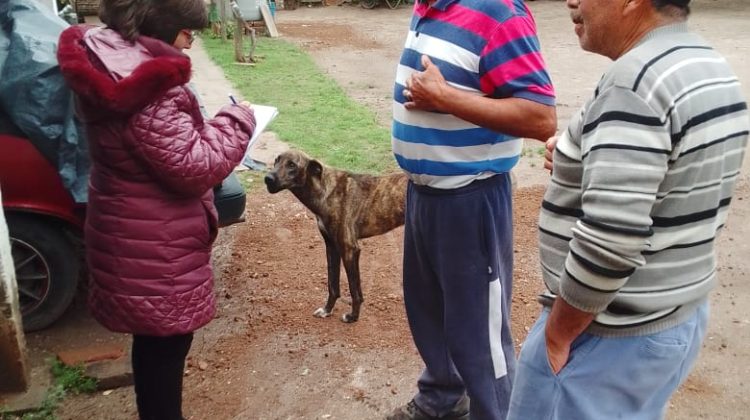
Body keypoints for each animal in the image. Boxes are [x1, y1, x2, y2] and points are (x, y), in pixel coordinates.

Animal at [264, 152, 406, 324]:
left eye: (292, 165)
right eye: (276, 161)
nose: (268, 178)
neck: (325, 192)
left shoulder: (349, 249)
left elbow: (354, 290)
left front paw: (353, 317)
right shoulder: (331, 246)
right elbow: (332, 285)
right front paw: (327, 310)